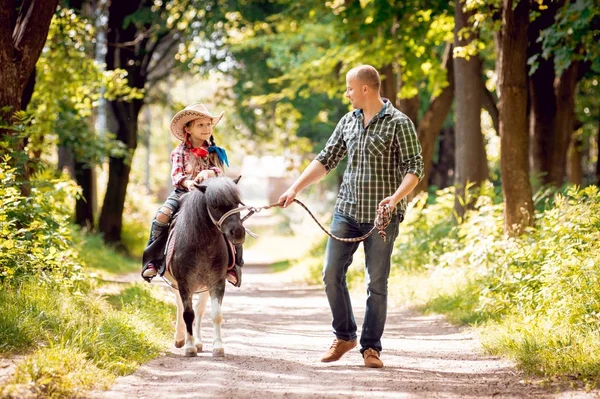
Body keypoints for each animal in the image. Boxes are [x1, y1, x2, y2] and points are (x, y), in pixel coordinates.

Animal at [163, 177, 245, 358]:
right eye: (214, 205)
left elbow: (216, 314)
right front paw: (189, 347)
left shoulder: (216, 282)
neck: (202, 245)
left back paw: (199, 342)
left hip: (203, 287)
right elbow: (187, 314)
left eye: (237, 202)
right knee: (180, 306)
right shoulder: (184, 282)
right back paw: (180, 339)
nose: (238, 233)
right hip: (176, 284)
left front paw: (218, 347)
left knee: (199, 311)